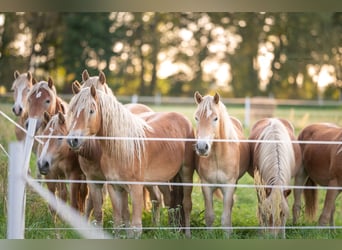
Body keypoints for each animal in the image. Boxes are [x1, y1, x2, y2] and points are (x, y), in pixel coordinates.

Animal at [66, 85, 195, 238]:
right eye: (72, 110)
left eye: (91, 111)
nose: (73, 140)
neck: (122, 149)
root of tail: (183, 119)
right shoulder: (114, 187)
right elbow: (117, 221)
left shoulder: (136, 188)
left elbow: (136, 226)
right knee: (169, 201)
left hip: (186, 173)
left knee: (186, 204)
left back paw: (187, 234)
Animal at [194, 91, 250, 235]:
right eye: (196, 118)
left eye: (215, 118)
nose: (202, 147)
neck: (217, 158)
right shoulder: (206, 186)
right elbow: (209, 216)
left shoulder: (229, 186)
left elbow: (225, 219)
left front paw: (228, 235)